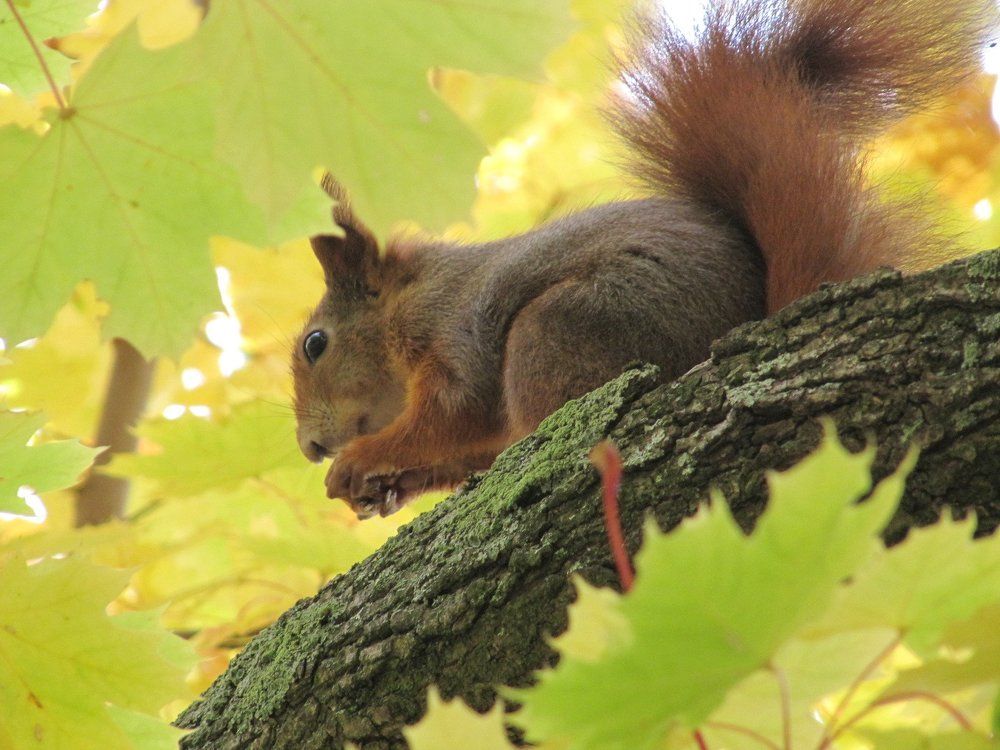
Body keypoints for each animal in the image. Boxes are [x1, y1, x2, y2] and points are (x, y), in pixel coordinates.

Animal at [292, 0, 994, 519]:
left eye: (315, 344)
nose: (310, 447)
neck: (408, 302)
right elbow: (457, 444)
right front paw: (386, 485)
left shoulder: (451, 329)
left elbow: (451, 413)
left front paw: (363, 459)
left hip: (562, 328)